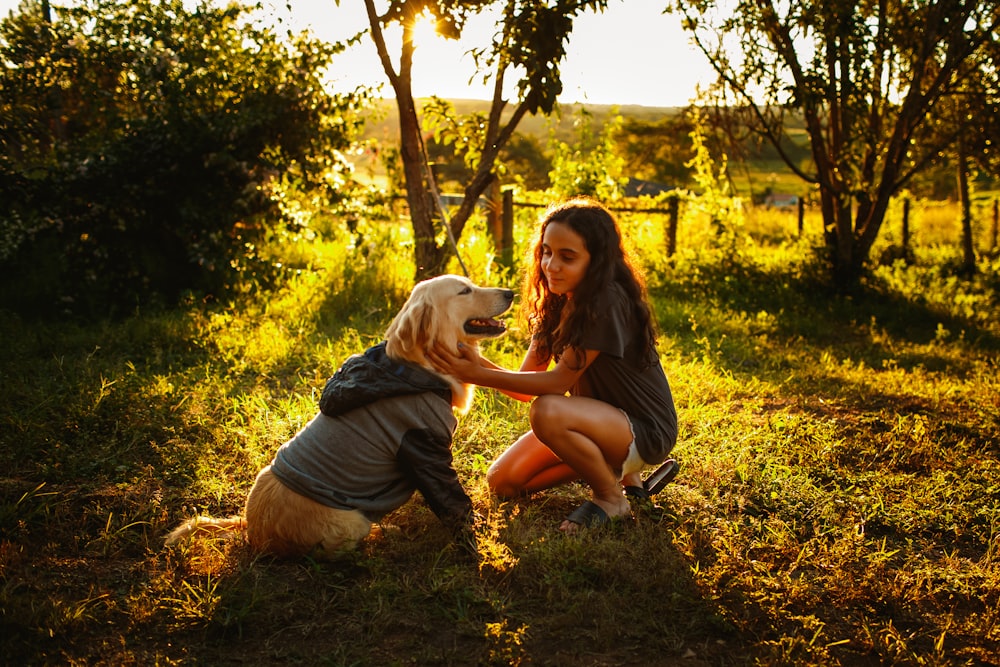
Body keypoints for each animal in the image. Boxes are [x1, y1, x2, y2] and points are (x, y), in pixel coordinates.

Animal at [165, 274, 516, 560]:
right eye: (464, 290)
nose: (510, 292)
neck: (415, 369)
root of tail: (253, 532)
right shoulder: (425, 450)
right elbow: (454, 503)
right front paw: (473, 546)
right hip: (351, 520)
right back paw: (386, 533)